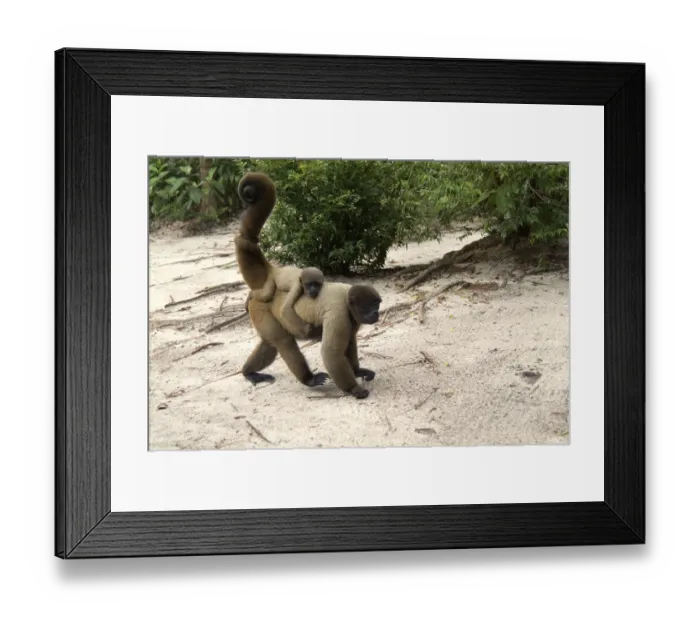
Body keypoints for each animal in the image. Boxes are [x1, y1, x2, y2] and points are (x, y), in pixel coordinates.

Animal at [234, 172, 382, 399]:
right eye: (370, 306)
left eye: (378, 305)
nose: (376, 314)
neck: (347, 299)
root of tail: (269, 276)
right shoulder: (339, 315)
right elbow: (332, 353)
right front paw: (354, 389)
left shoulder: (352, 320)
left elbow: (349, 343)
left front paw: (358, 371)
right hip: (262, 308)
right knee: (284, 342)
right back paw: (308, 379)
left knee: (269, 344)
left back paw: (249, 372)